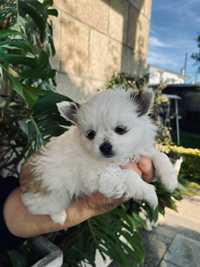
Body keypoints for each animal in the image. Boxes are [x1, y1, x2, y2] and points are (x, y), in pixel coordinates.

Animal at [19, 89, 177, 225]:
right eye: (91, 134)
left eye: (121, 129)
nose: (105, 147)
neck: (116, 159)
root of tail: (23, 180)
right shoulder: (101, 176)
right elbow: (129, 176)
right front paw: (150, 193)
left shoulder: (141, 150)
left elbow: (161, 156)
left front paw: (170, 179)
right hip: (52, 195)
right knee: (37, 207)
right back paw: (59, 216)